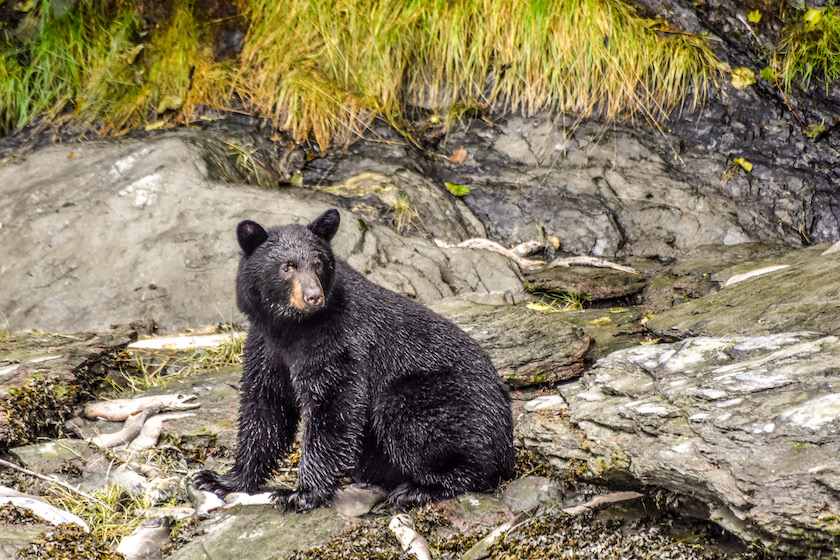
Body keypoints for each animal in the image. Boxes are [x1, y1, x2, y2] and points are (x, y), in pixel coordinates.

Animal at [194, 208, 516, 510]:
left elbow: (334, 405)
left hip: (441, 400)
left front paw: (300, 493)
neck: (292, 328)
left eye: (318, 263)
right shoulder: (266, 346)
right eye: (287, 267)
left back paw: (421, 488)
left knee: (420, 425)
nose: (313, 296)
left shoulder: (340, 340)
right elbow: (265, 408)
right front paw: (220, 478)